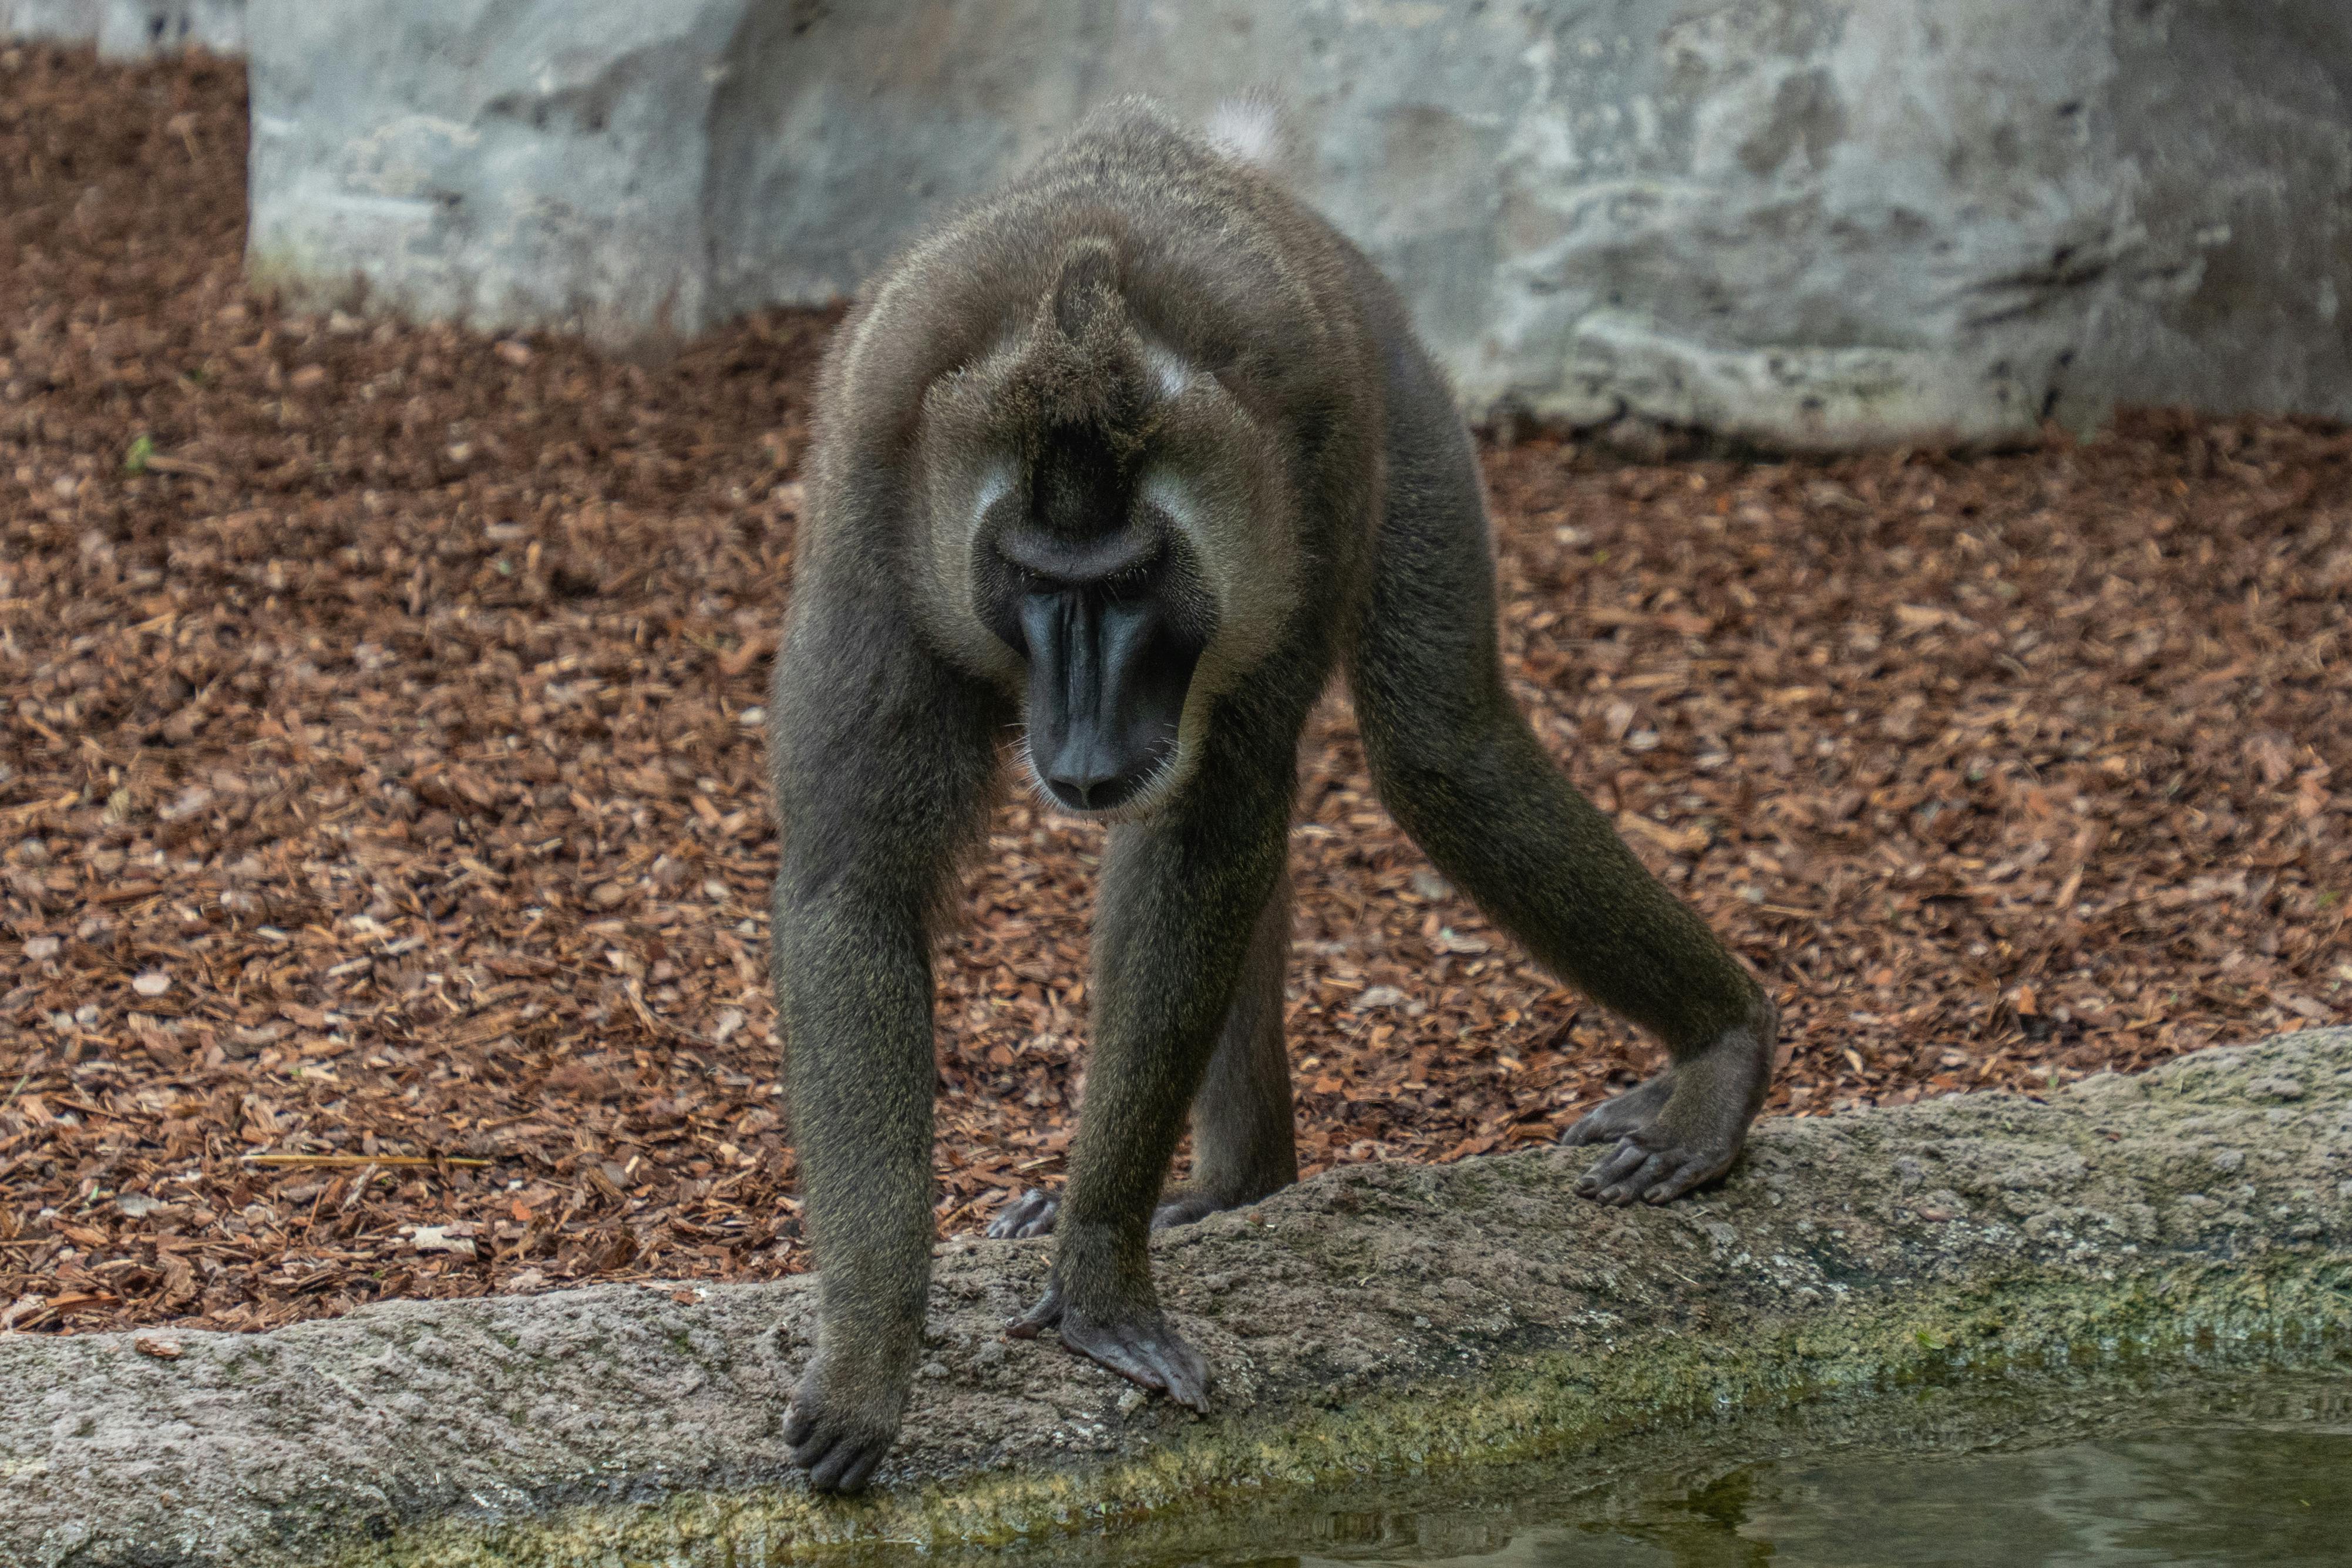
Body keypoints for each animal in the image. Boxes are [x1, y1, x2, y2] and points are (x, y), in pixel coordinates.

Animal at [765, 98, 1778, 1494]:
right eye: (1038, 583)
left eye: (1133, 584)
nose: (1085, 735)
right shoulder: (874, 513)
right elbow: (852, 887)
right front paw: (871, 1354)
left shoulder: (1312, 465)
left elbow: (1215, 831)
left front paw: (1098, 1277)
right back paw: (1233, 1185)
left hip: (1398, 396)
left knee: (1442, 748)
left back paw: (1719, 1042)